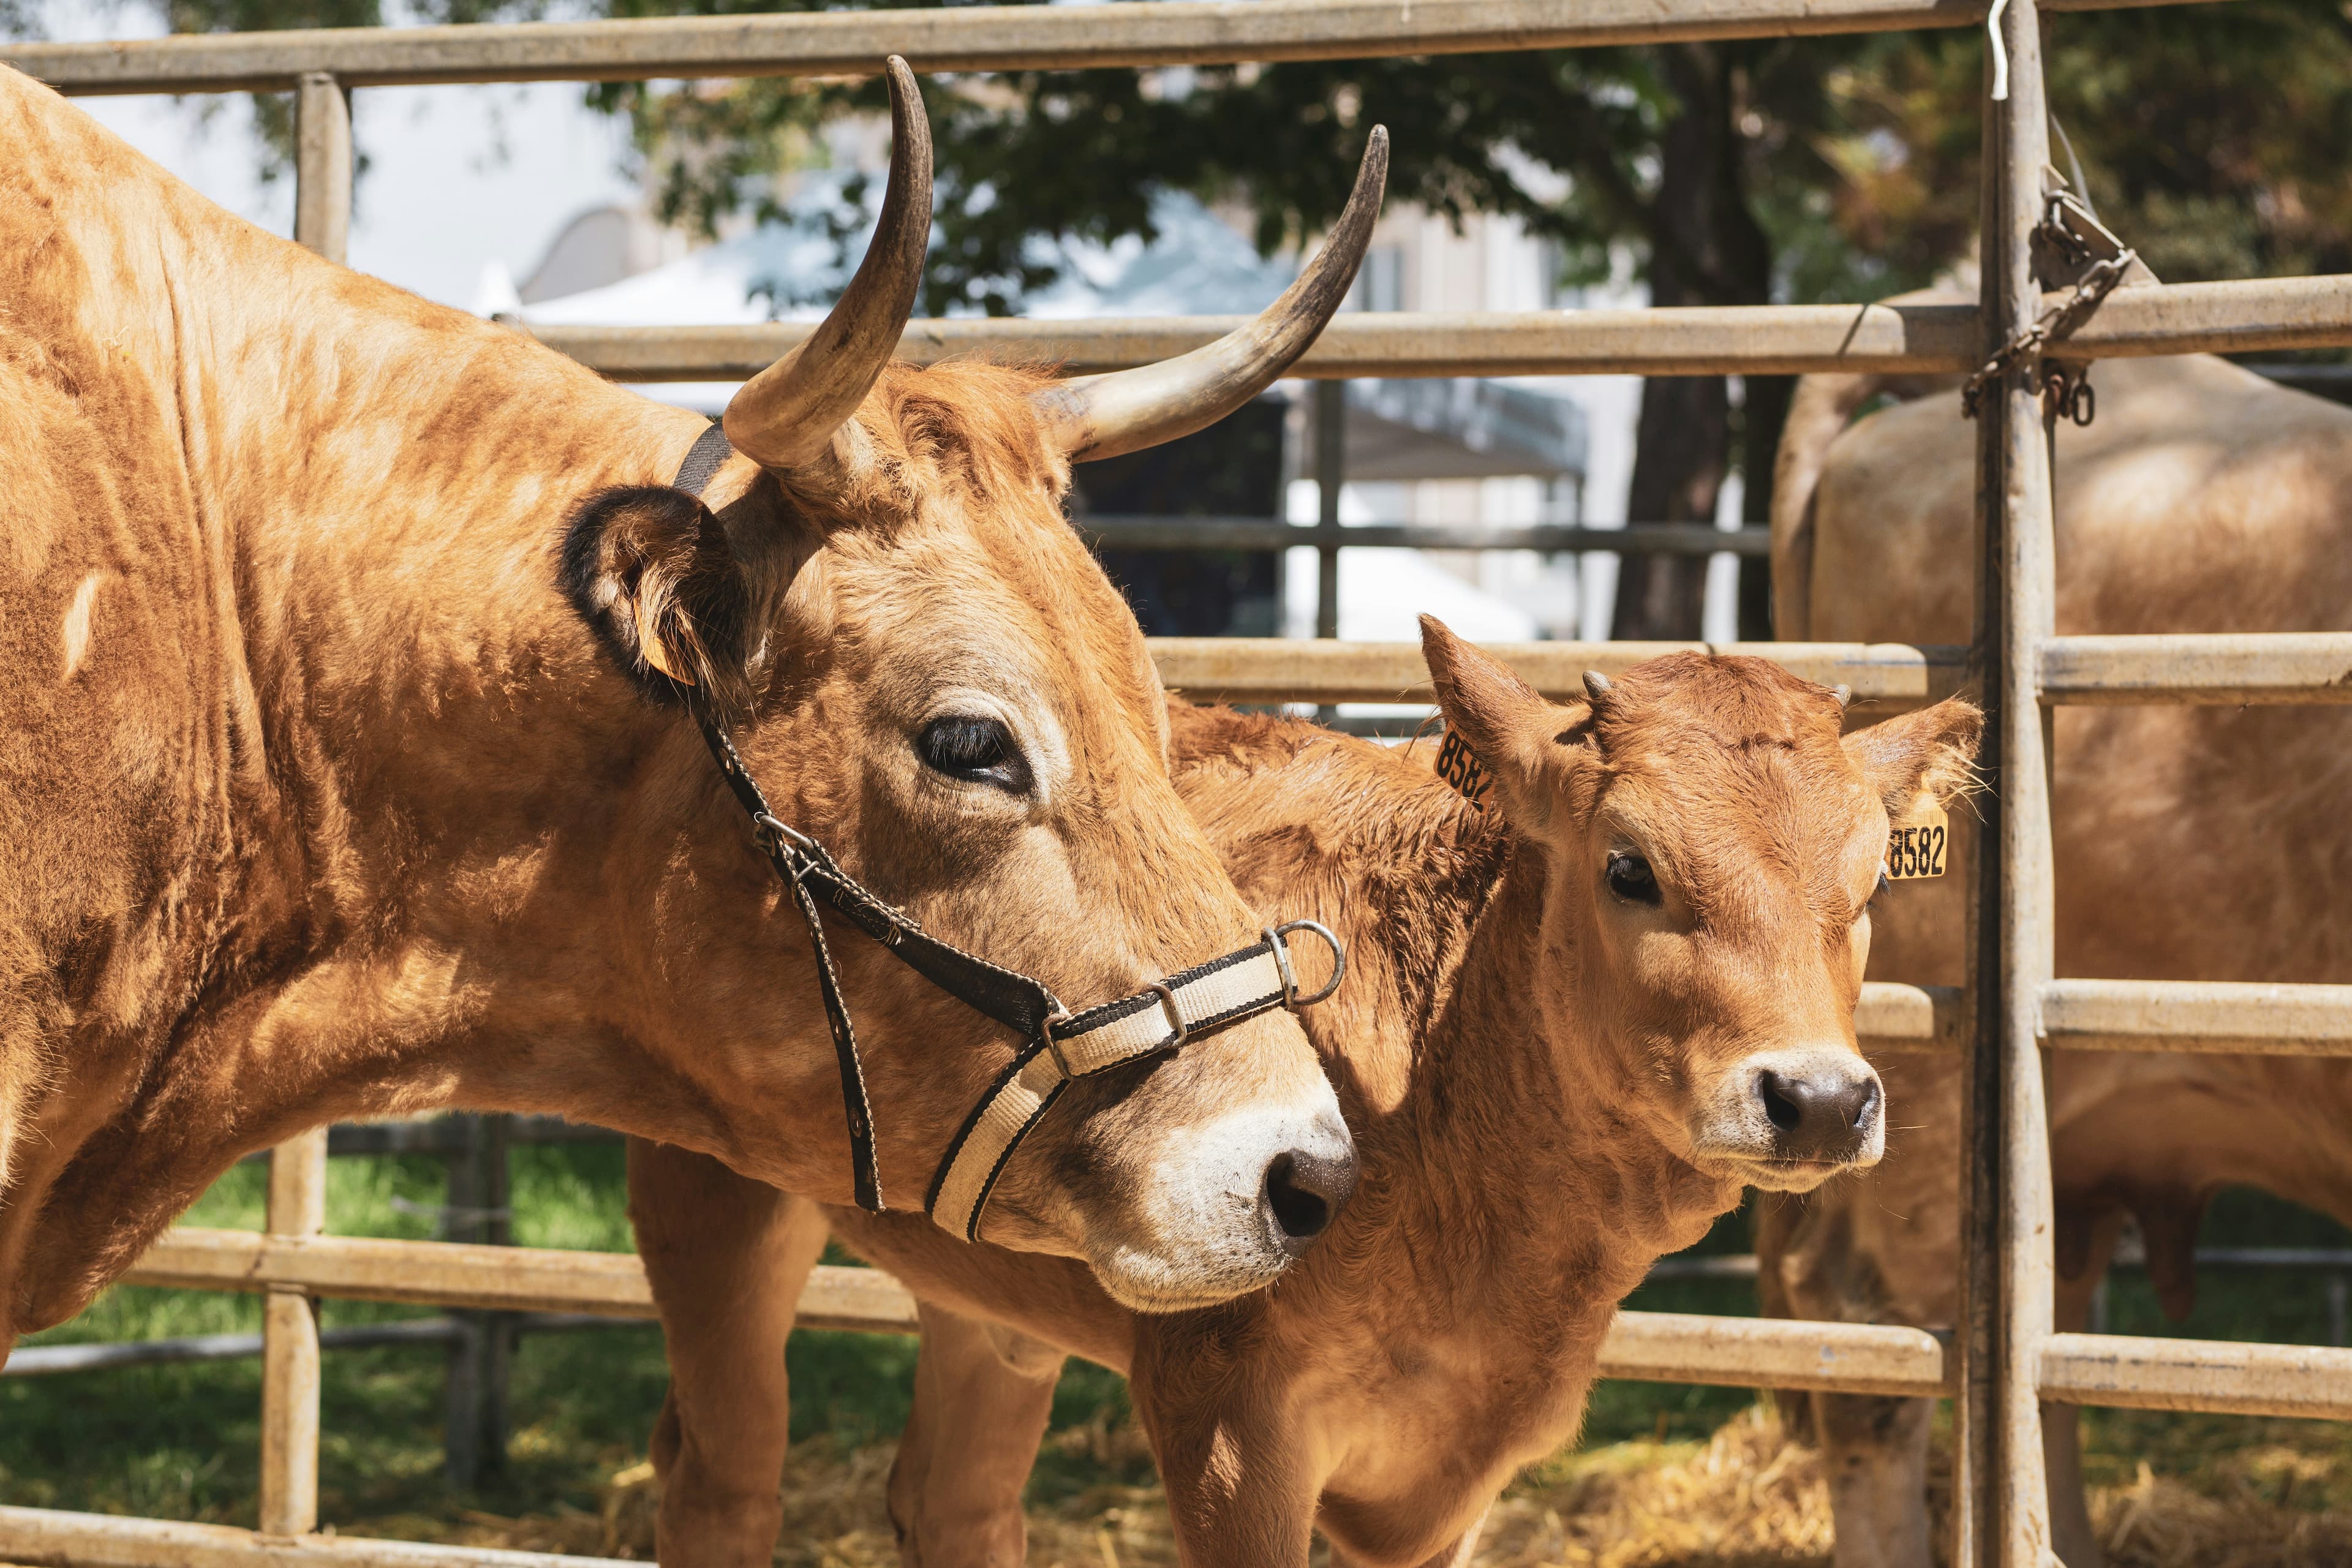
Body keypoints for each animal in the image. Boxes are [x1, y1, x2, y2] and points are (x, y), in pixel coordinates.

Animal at [624, 618, 1985, 1568]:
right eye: (1630, 867)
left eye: (1872, 880)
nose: (1818, 1098)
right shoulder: (1225, 1412)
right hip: (708, 1198)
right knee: (720, 1483)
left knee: (953, 1500)